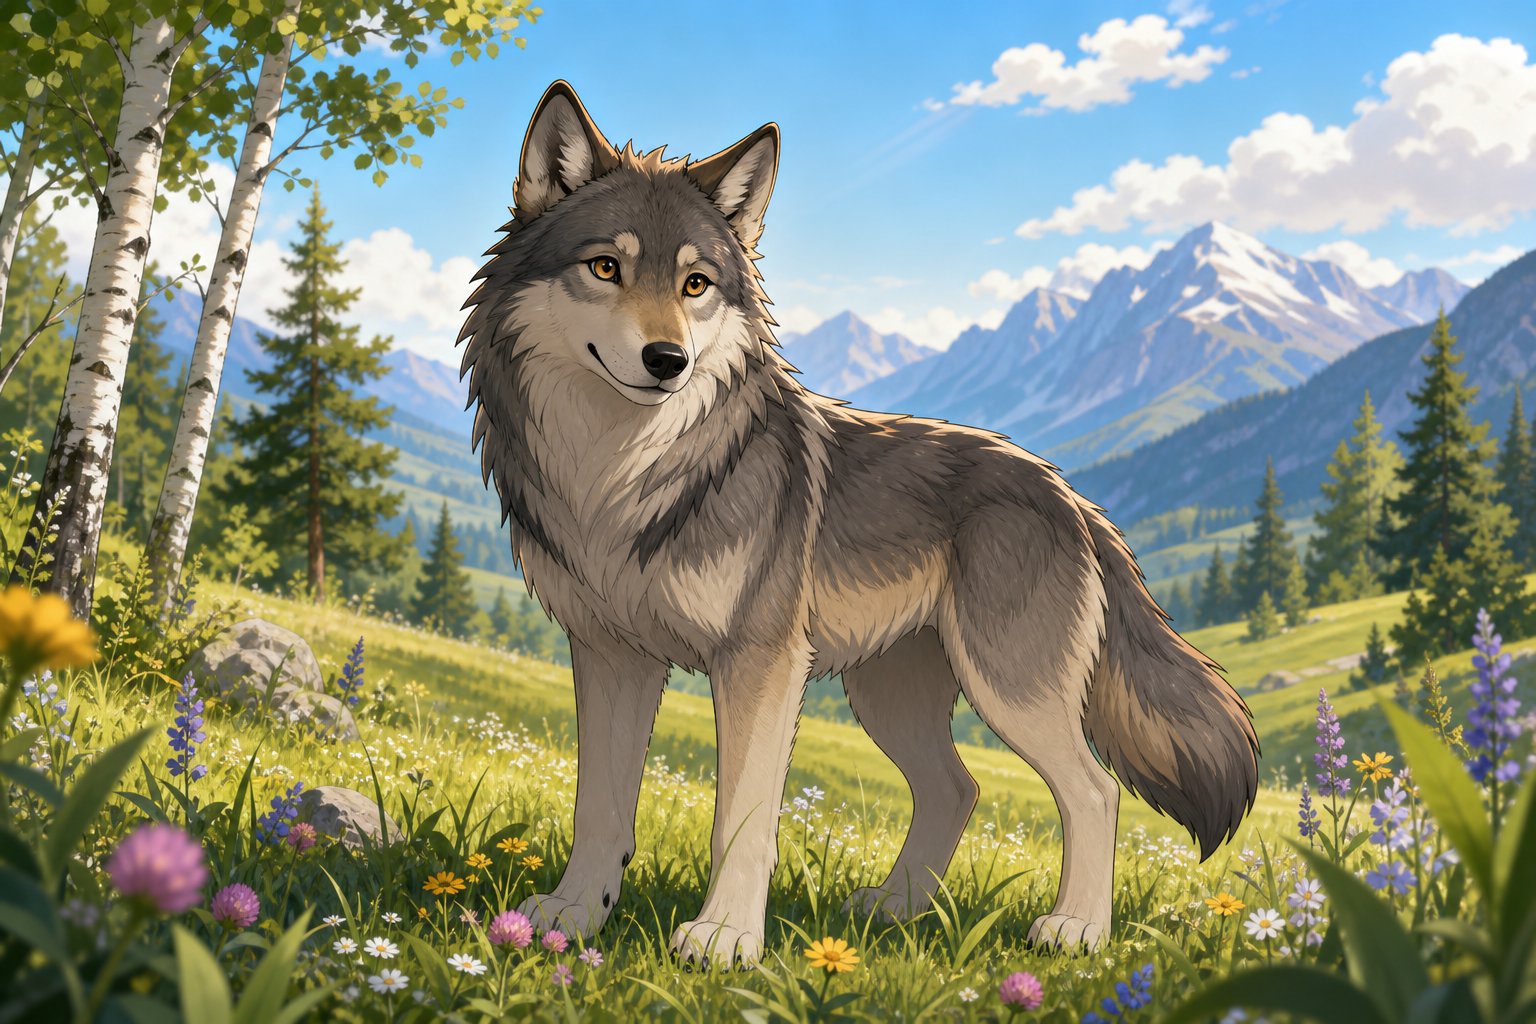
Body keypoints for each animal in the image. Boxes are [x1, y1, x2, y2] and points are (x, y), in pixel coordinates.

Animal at [457, 81, 1259, 967]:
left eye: (696, 284)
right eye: (606, 267)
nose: (668, 361)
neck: (618, 475)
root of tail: (1069, 494)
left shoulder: (760, 663)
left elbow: (741, 820)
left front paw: (725, 938)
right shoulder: (610, 655)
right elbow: (597, 805)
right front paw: (574, 916)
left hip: (1007, 691)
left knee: (1094, 790)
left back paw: (1077, 930)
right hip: (889, 697)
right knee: (959, 788)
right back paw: (897, 911)